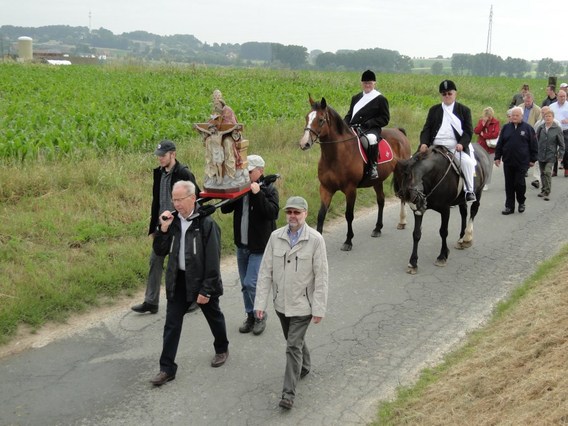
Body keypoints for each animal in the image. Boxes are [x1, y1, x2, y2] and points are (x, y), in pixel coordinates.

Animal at [298, 95, 412, 250]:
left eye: (321, 120)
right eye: (307, 117)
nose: (304, 143)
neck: (336, 156)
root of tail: (399, 131)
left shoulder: (350, 189)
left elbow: (349, 215)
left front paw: (348, 241)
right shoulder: (326, 188)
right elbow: (321, 215)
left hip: (400, 174)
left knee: (401, 196)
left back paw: (402, 221)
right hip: (377, 180)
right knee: (381, 200)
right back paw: (377, 228)